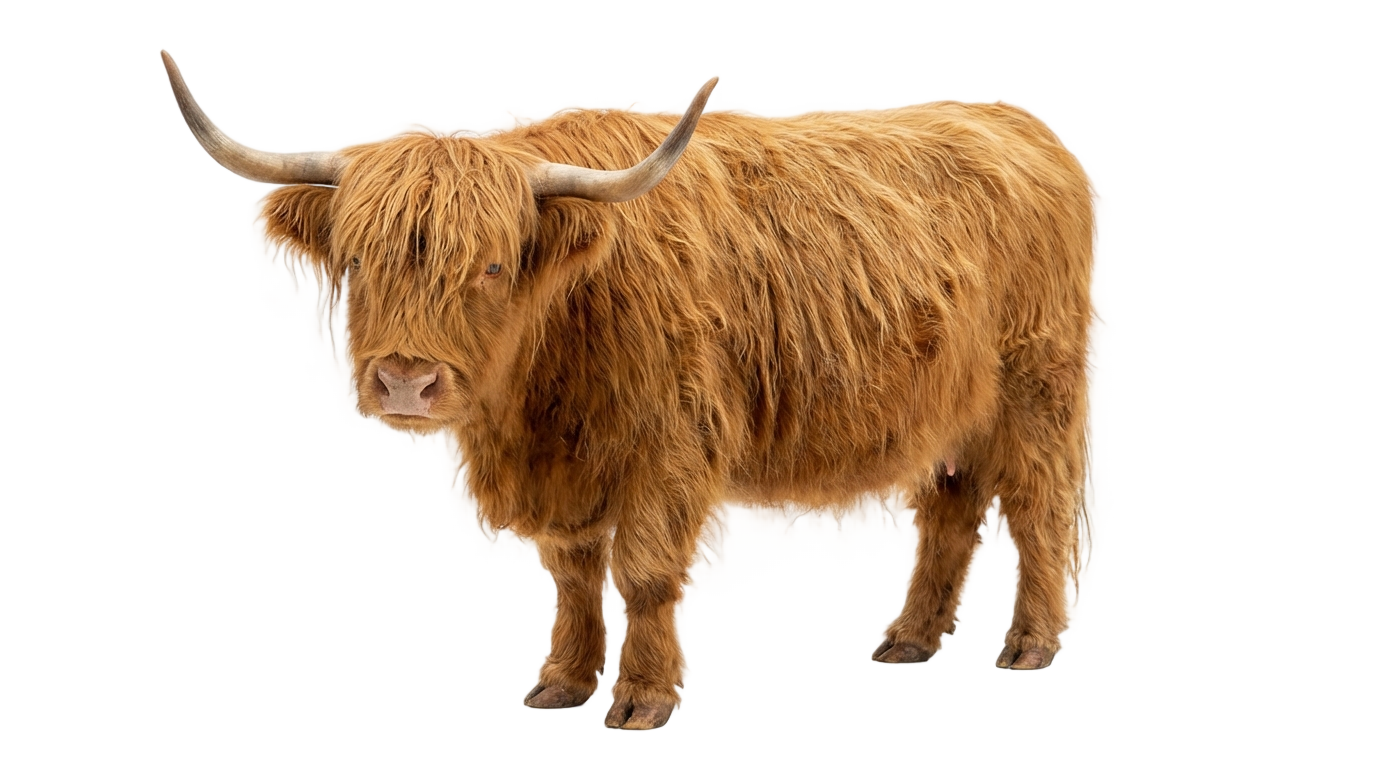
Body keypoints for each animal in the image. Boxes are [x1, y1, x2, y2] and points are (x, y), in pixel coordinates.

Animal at [160, 52, 1093, 729]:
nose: (404, 381)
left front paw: (641, 699)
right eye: (355, 261)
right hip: (953, 412)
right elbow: (574, 576)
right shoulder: (566, 475)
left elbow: (644, 574)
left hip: (1037, 388)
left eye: (492, 267)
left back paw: (1030, 648)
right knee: (950, 509)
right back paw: (910, 640)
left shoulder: (671, 447)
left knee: (1039, 505)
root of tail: (1015, 123)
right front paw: (563, 685)